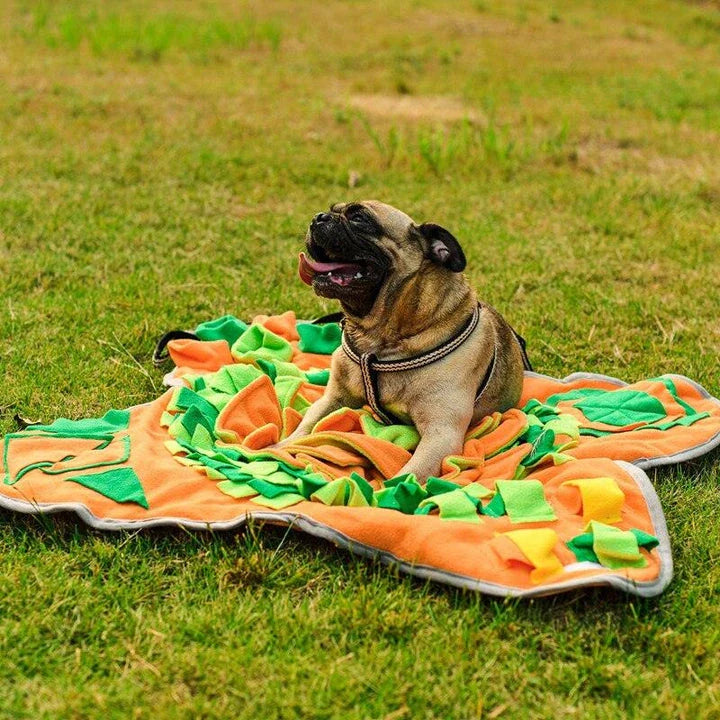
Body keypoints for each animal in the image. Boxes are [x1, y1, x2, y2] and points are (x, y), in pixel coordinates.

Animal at [286, 200, 528, 480]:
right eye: (332, 208)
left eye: (360, 218)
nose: (319, 217)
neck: (379, 338)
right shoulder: (332, 400)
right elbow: (304, 427)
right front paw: (274, 449)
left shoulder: (441, 434)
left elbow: (409, 473)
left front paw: (393, 491)